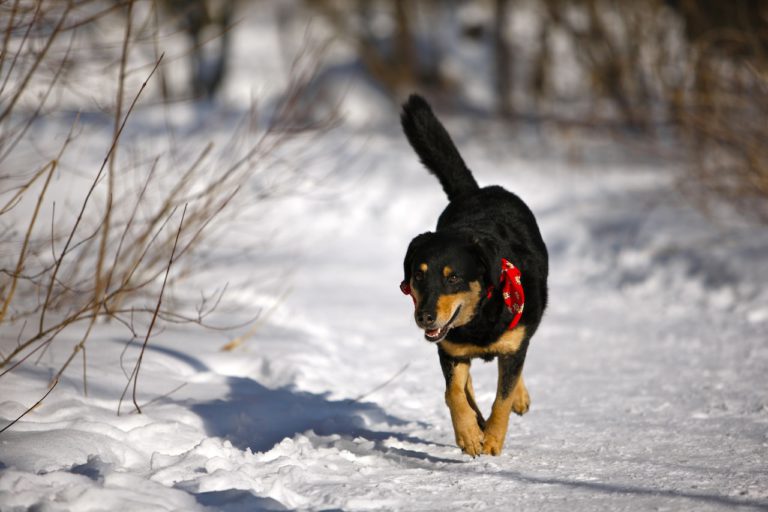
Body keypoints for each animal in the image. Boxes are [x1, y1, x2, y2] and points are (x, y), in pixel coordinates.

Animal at [400, 95, 548, 456]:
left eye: (453, 278)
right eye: (418, 276)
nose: (424, 317)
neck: (479, 318)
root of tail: (477, 191)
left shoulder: (512, 342)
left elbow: (503, 396)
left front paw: (492, 437)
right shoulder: (450, 349)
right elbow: (453, 392)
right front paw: (469, 432)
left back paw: (516, 400)